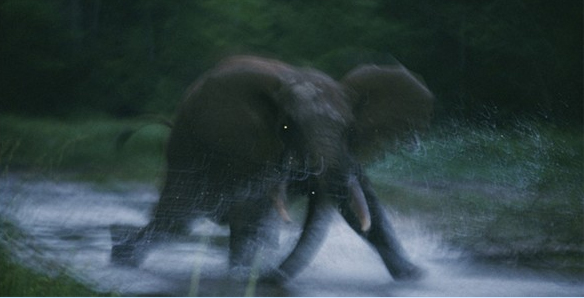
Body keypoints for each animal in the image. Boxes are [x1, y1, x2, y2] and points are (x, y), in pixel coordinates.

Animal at [112, 55, 436, 282]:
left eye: (349, 131)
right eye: (287, 127)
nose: (270, 276)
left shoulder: (348, 156)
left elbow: (363, 205)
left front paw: (413, 277)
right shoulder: (253, 148)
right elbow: (254, 210)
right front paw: (248, 276)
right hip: (186, 148)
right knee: (178, 217)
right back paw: (123, 257)